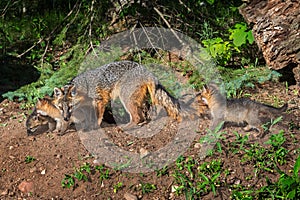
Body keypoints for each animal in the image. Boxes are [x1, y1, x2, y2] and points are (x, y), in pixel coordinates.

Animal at [52, 60, 182, 127]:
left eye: (70, 106)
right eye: (60, 107)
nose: (65, 118)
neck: (84, 87)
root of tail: (143, 68)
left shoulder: (100, 100)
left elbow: (98, 116)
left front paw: (96, 125)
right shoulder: (89, 105)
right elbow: (89, 116)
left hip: (125, 99)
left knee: (137, 117)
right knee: (142, 116)